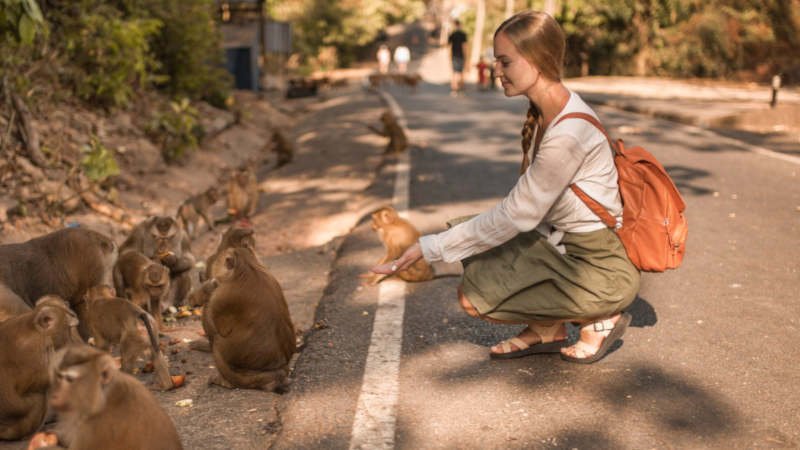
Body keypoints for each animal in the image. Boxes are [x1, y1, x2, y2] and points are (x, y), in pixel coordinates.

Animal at [0, 296, 80, 440]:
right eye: (68, 330)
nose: (73, 313)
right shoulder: (37, 355)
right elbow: (42, 380)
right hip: (18, 427)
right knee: (39, 397)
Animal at [192, 246, 296, 390]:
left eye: (210, 265)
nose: (200, 275)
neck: (246, 268)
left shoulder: (220, 296)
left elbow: (217, 327)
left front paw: (205, 291)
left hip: (241, 375)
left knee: (216, 340)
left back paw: (227, 381)